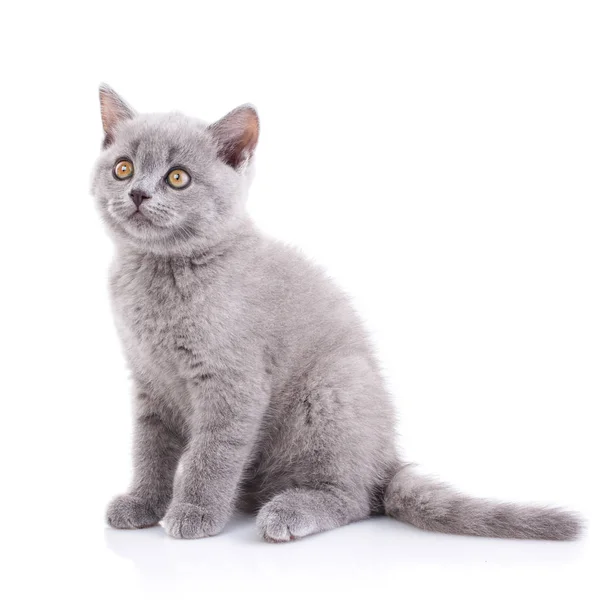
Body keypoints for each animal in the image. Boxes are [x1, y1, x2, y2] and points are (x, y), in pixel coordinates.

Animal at [94, 85, 580, 544]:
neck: (159, 272)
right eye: (123, 168)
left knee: (353, 497)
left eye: (178, 178)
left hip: (334, 386)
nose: (138, 193)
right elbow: (150, 449)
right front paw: (143, 503)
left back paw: (287, 512)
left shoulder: (233, 382)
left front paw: (194, 513)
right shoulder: (149, 380)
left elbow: (211, 453)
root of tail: (387, 460)